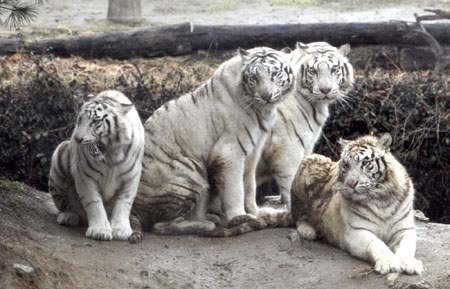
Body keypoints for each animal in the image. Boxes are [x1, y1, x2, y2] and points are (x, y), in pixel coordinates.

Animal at [47, 90, 143, 241]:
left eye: (95, 121)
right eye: (80, 119)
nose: (77, 139)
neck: (111, 154)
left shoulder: (131, 177)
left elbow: (124, 202)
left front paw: (121, 229)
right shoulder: (85, 176)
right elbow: (94, 203)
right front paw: (100, 231)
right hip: (60, 155)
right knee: (65, 205)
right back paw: (68, 216)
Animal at [129, 47, 296, 238]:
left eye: (274, 74)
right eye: (254, 78)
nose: (266, 96)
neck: (263, 110)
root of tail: (135, 208)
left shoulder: (253, 151)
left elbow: (249, 185)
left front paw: (256, 211)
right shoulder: (230, 152)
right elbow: (236, 188)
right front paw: (240, 216)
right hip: (190, 173)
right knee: (160, 225)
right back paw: (206, 224)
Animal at [255, 41, 354, 209]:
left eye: (334, 69)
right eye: (313, 71)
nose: (325, 90)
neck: (315, 105)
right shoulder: (288, 151)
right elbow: (290, 184)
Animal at [292, 134, 422, 274]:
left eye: (365, 163)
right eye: (346, 165)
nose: (350, 183)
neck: (381, 198)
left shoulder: (404, 230)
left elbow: (407, 247)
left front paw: (410, 263)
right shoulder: (356, 231)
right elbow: (377, 244)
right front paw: (389, 262)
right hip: (310, 162)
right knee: (298, 218)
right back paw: (308, 231)